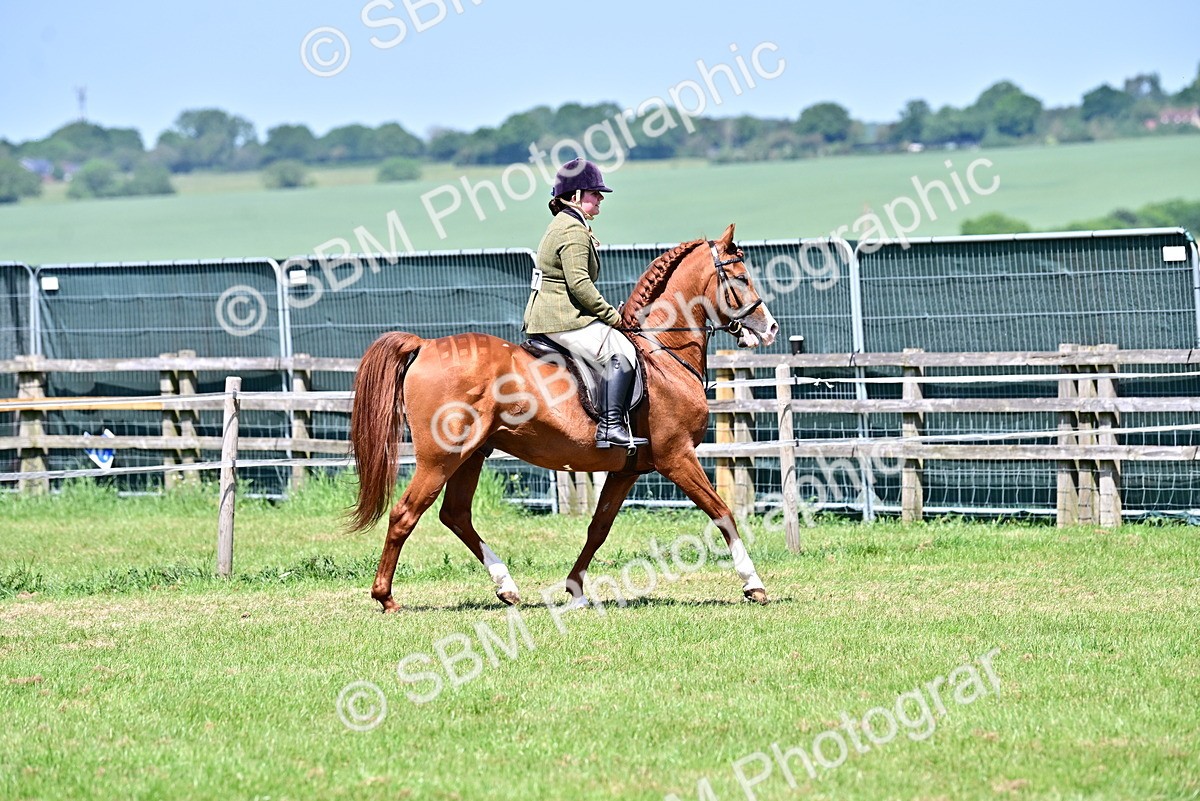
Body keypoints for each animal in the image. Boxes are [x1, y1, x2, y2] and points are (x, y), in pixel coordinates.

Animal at [348, 223, 779, 612]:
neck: (663, 353)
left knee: (455, 515)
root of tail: (425, 345)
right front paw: (753, 585)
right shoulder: (677, 457)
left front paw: (575, 590)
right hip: (441, 457)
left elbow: (598, 529)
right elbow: (723, 514)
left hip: (471, 455)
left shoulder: (627, 470)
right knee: (405, 514)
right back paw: (386, 598)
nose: (770, 328)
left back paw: (507, 587)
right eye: (741, 277)